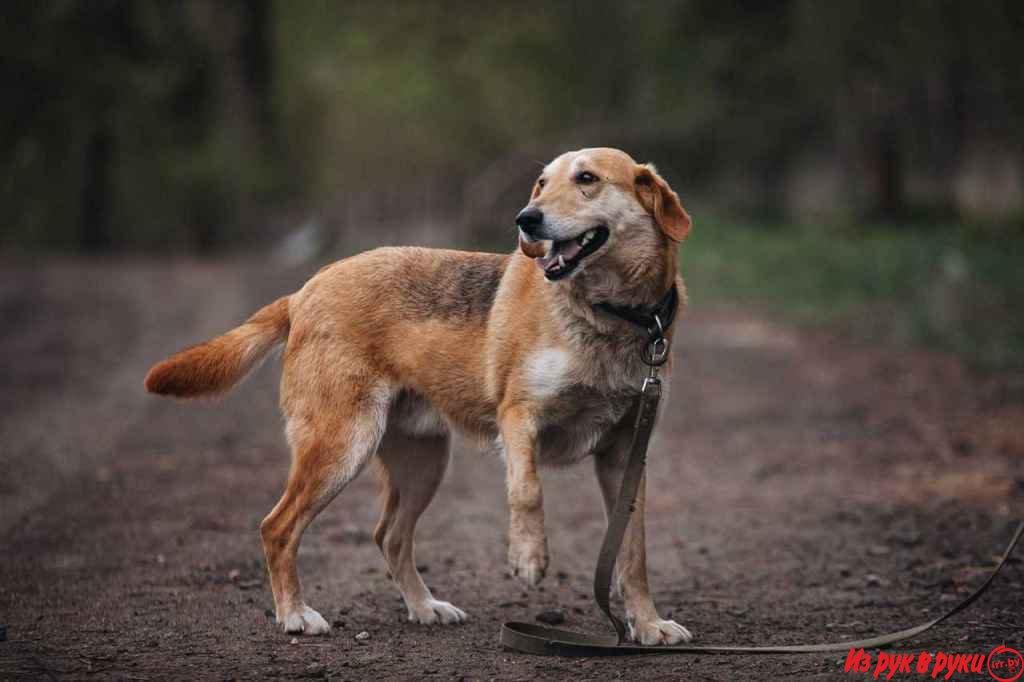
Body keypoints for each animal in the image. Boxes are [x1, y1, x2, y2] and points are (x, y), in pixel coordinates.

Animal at [144, 146, 696, 638]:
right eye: (540, 184)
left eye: (587, 178)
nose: (527, 219)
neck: (614, 316)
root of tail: (305, 290)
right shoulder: (519, 418)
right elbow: (527, 491)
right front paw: (528, 557)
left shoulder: (625, 456)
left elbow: (632, 554)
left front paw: (647, 624)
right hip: (342, 447)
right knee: (277, 528)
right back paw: (296, 615)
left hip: (423, 462)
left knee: (389, 536)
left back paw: (423, 606)